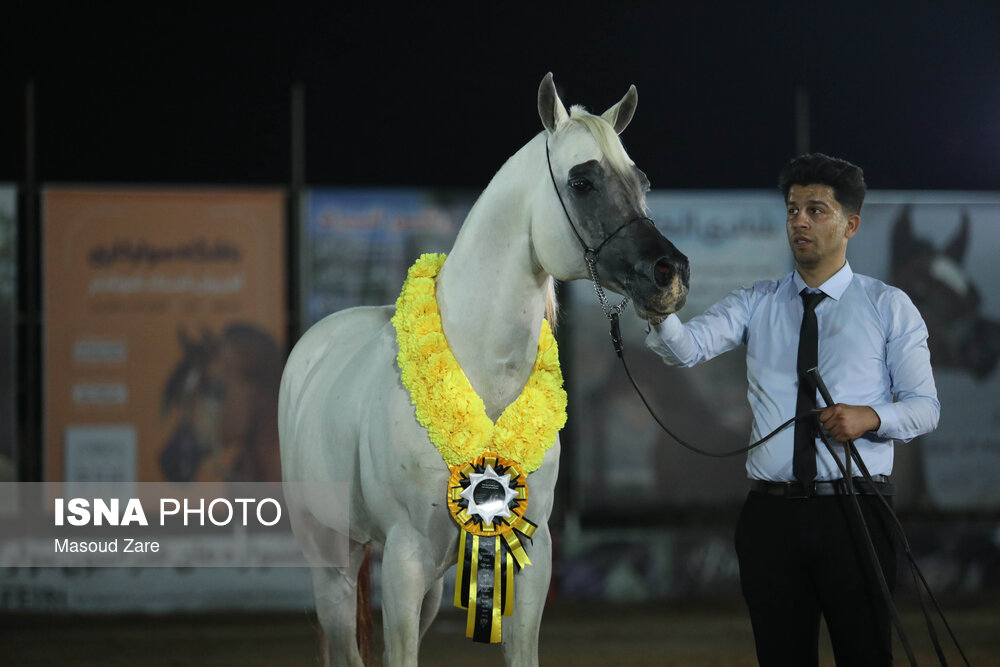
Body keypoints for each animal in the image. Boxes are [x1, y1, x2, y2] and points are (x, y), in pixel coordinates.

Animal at [278, 74, 692, 667]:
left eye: (643, 181)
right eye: (583, 181)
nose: (670, 274)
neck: (481, 371)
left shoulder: (531, 555)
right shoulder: (403, 560)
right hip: (331, 558)